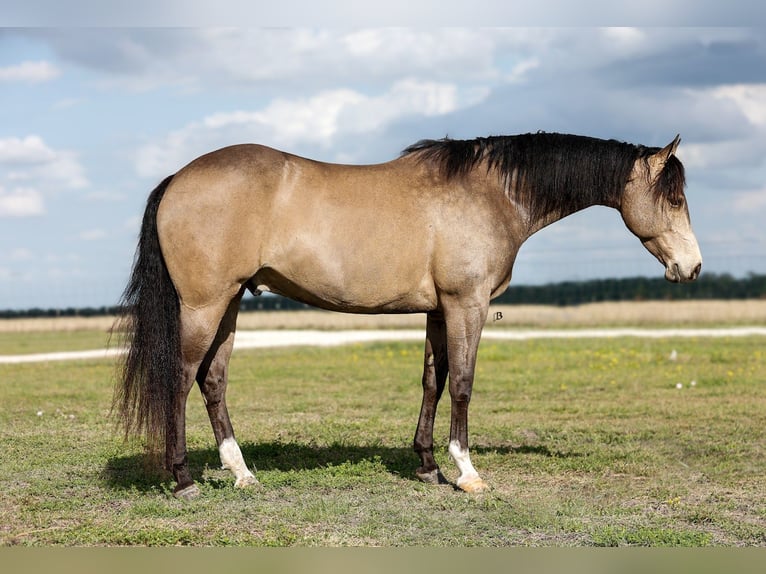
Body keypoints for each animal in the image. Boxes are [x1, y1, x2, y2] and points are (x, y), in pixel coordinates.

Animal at [114, 132, 702, 499]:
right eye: (673, 200)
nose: (692, 267)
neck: (491, 193)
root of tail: (178, 177)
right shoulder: (468, 304)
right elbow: (462, 383)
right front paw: (467, 472)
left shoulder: (439, 310)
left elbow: (432, 382)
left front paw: (428, 466)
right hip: (205, 305)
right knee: (180, 379)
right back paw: (183, 478)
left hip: (231, 302)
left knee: (212, 381)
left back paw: (241, 474)